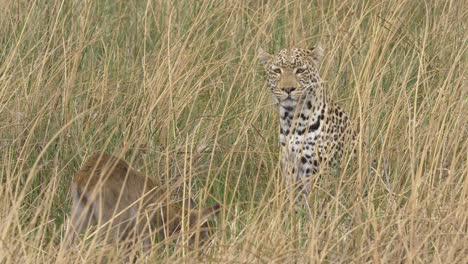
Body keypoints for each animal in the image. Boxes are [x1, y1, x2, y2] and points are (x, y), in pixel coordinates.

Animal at [258, 43, 360, 196]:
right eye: (277, 71)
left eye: (300, 70)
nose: (288, 89)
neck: (292, 120)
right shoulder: (290, 166)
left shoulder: (320, 170)